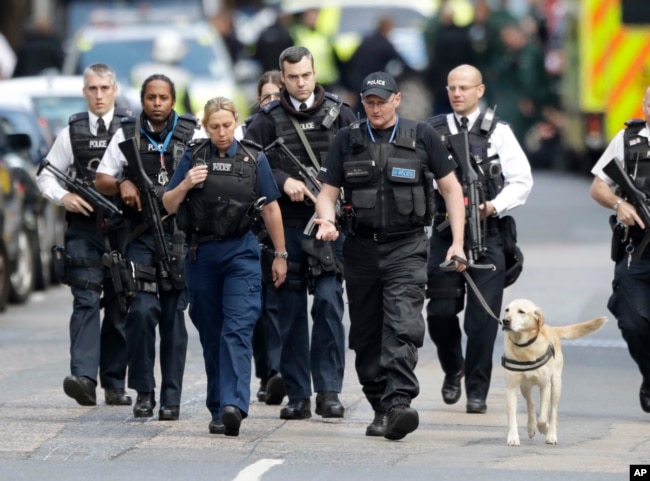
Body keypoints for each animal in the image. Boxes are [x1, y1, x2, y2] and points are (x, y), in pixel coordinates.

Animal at [498, 298, 604, 444]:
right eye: (507, 310)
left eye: (521, 311)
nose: (505, 321)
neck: (525, 348)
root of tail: (551, 328)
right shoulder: (511, 388)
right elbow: (512, 416)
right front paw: (513, 438)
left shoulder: (545, 386)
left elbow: (543, 416)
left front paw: (544, 427)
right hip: (525, 386)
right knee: (531, 403)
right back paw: (531, 427)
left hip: (556, 385)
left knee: (553, 412)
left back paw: (551, 435)